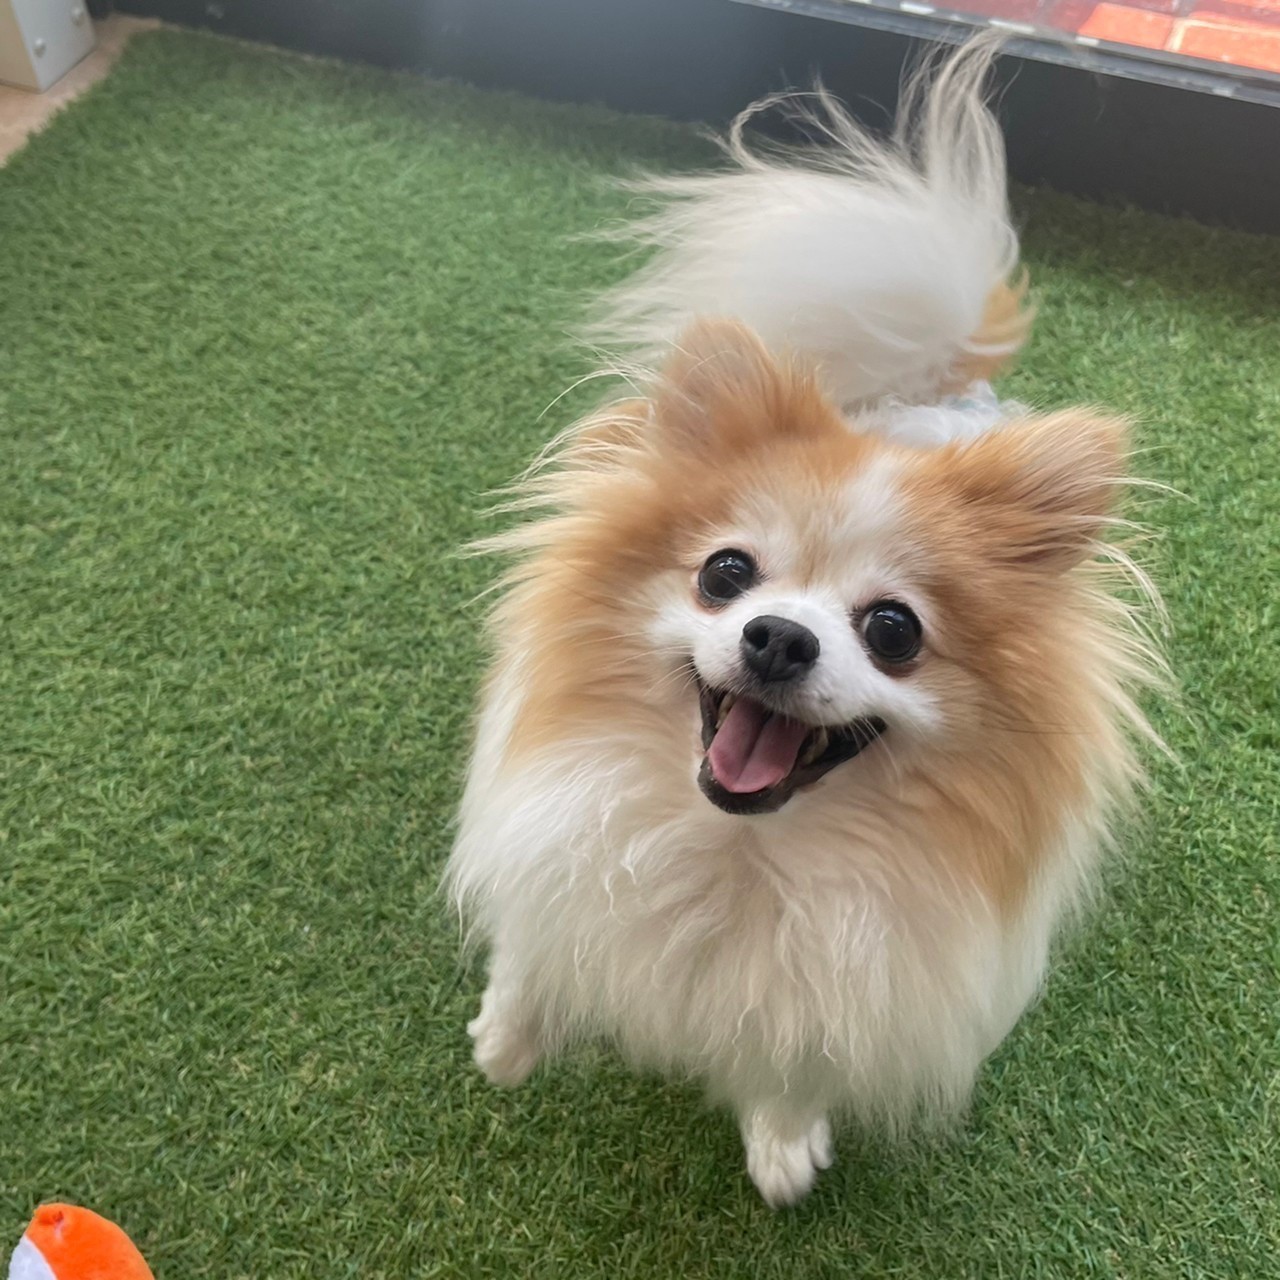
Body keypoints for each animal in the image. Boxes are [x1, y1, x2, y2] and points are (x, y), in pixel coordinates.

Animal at [447, 40, 1161, 1207]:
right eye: (726, 572)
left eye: (894, 630)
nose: (779, 636)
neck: (740, 858)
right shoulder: (549, 836)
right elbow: (533, 947)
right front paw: (509, 1038)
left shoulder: (847, 995)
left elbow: (792, 1066)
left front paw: (781, 1147)